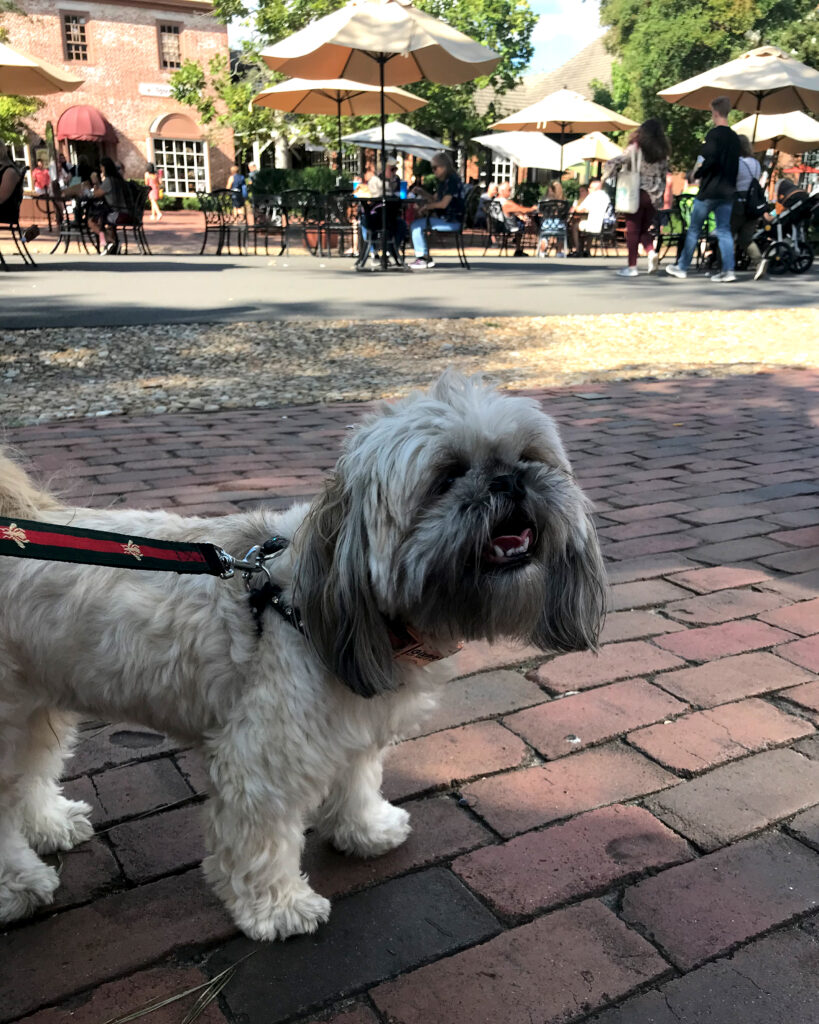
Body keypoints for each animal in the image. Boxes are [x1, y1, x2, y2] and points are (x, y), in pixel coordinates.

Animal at [0, 372, 601, 937]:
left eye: (528, 457)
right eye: (447, 475)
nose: (510, 479)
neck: (305, 600)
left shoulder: (352, 723)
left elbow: (357, 779)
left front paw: (366, 830)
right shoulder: (263, 758)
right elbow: (261, 840)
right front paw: (279, 907)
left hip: (36, 705)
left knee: (29, 774)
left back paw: (50, 824)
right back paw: (21, 885)